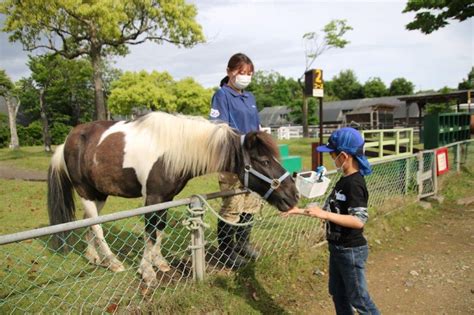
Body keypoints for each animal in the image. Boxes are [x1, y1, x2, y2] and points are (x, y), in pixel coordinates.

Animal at [49, 111, 300, 286]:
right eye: (264, 161)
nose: (294, 195)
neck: (171, 150)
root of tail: (68, 140)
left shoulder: (166, 198)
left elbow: (160, 230)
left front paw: (158, 262)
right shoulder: (152, 198)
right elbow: (150, 233)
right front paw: (147, 272)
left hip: (98, 195)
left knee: (89, 222)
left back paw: (92, 256)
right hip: (87, 193)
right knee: (98, 227)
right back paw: (112, 262)